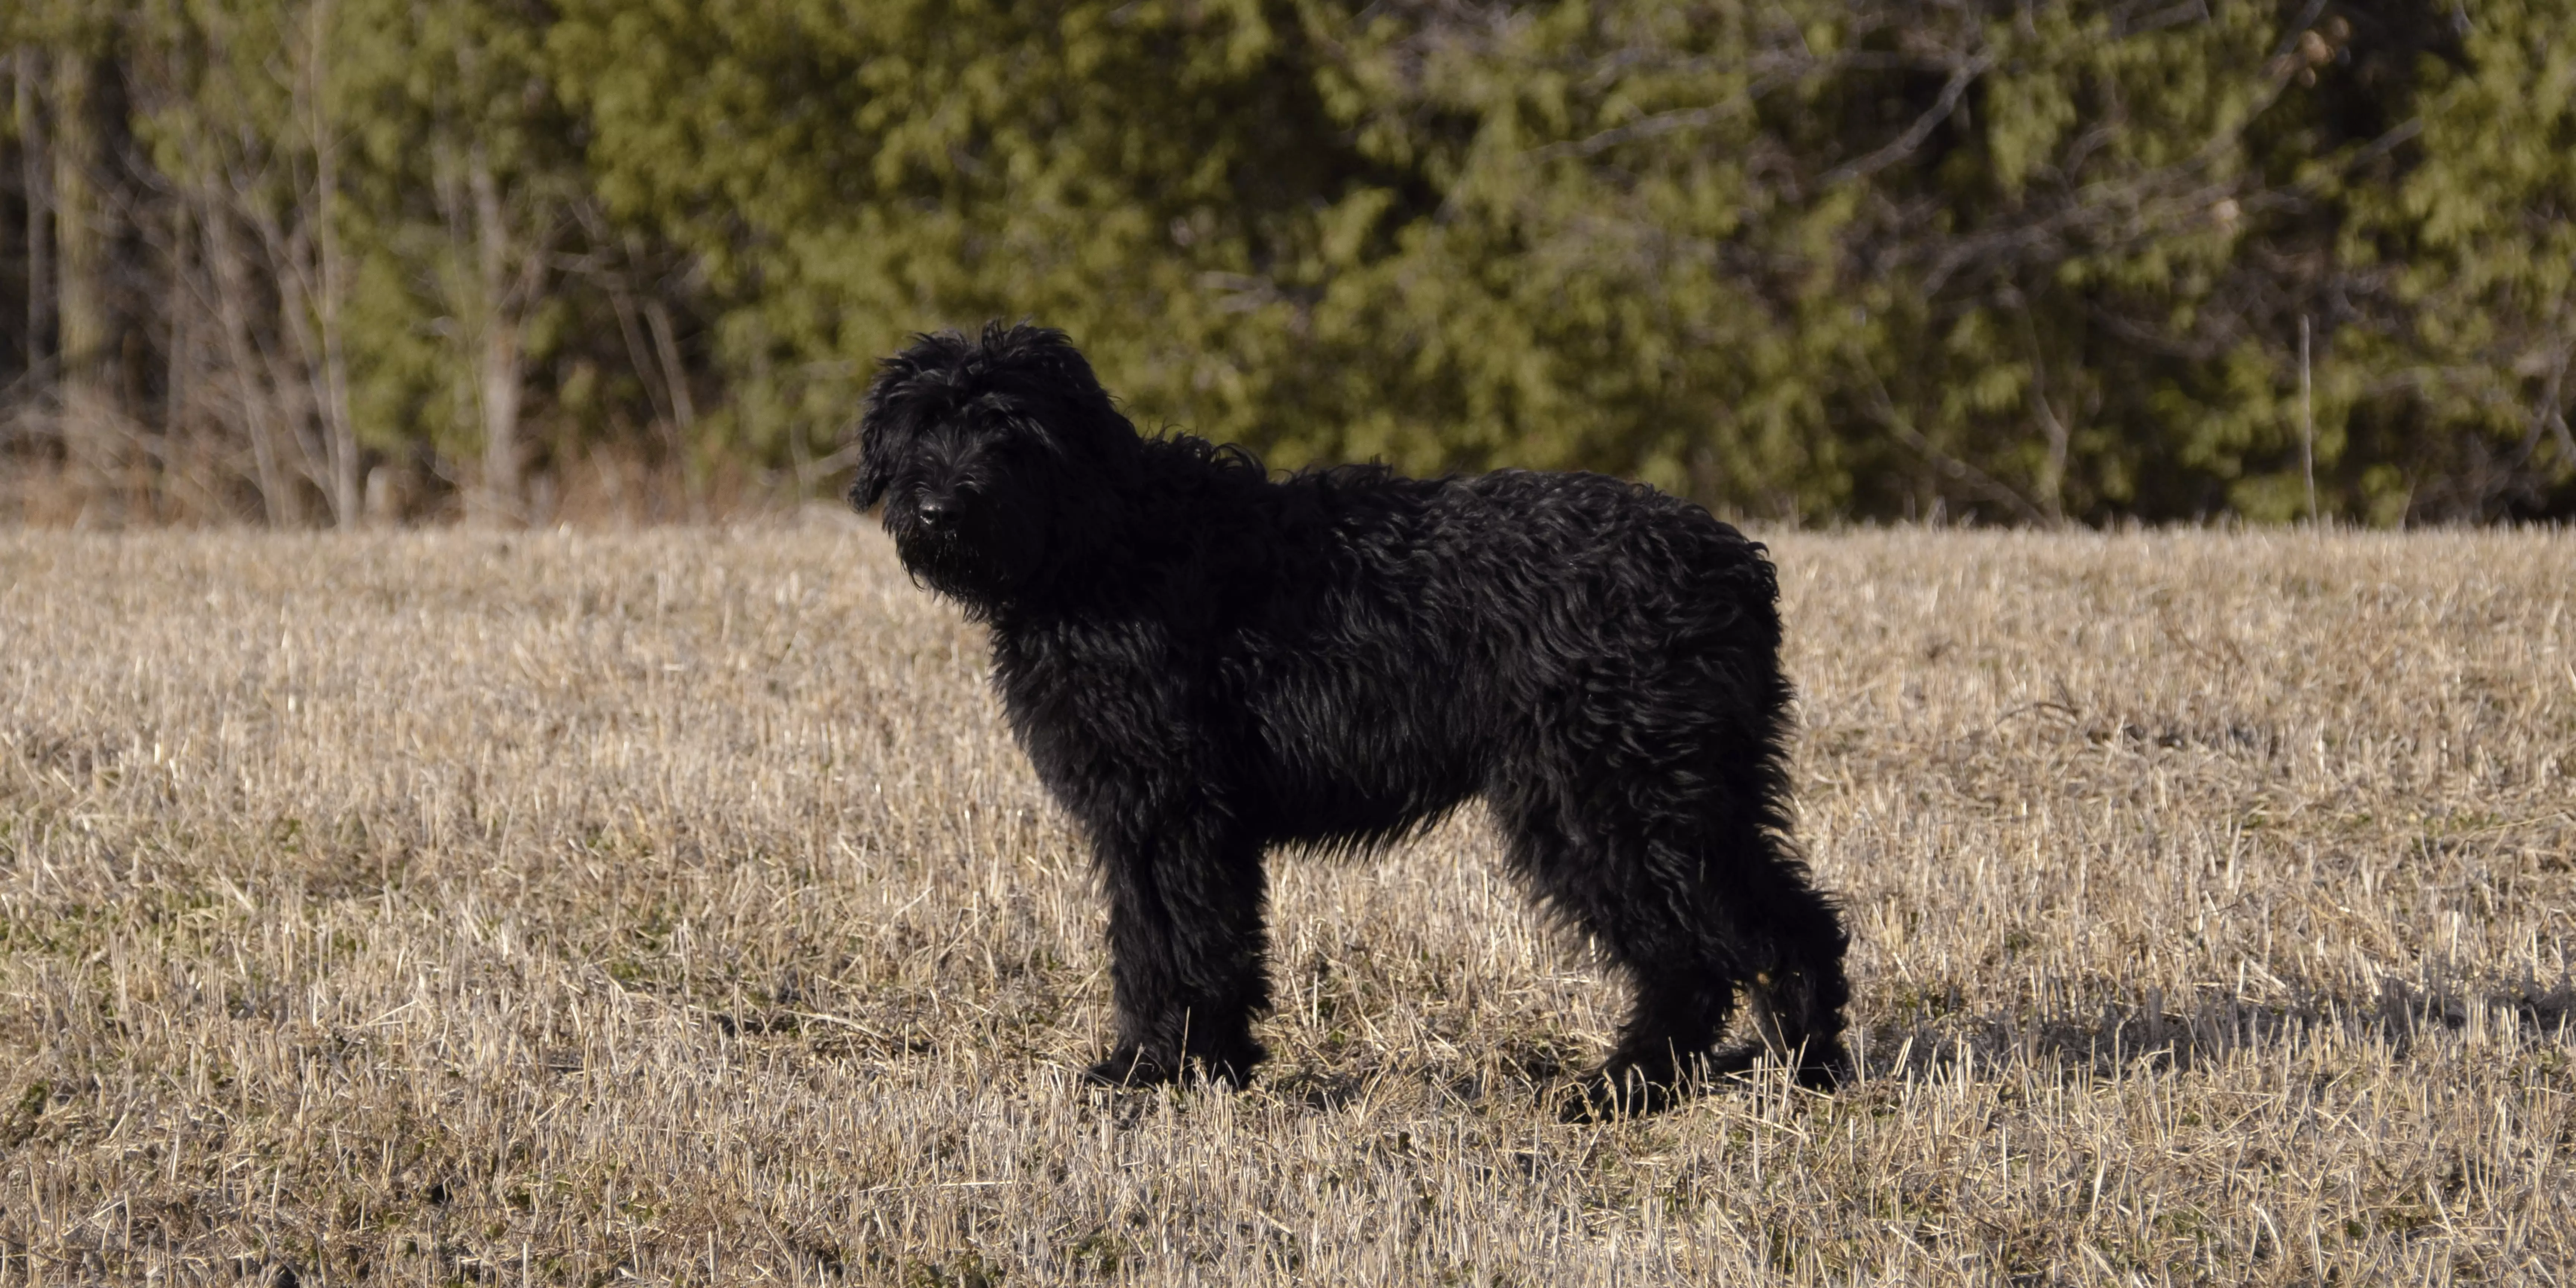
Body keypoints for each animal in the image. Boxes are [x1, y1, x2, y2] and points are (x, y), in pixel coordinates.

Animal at [855, 324, 1844, 1118]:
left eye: (1009, 430)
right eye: (922, 424)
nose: (938, 509)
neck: (1107, 536)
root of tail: (1731, 563)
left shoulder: (1171, 810)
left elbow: (1177, 945)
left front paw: (1160, 1069)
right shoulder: (1151, 820)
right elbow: (1170, 940)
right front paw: (1193, 1065)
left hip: (1609, 803)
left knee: (1700, 950)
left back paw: (1627, 1087)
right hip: (1688, 794)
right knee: (1790, 922)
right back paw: (1806, 1067)